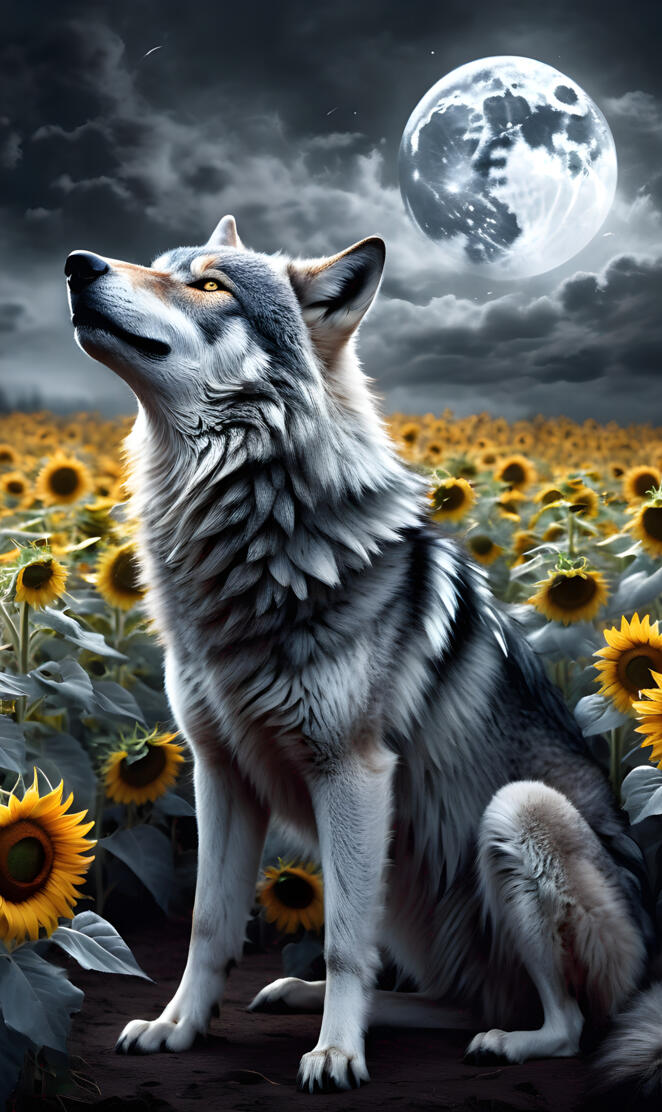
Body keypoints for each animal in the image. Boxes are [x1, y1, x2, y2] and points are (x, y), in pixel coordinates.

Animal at [66, 216, 660, 1098]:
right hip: (414, 894)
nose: (77, 264)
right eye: (160, 266)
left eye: (208, 286)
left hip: (516, 814)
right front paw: (178, 1027)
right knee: (451, 993)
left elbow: (343, 938)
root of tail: (654, 969)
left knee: (567, 1023)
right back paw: (303, 993)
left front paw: (338, 1053)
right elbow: (208, 923)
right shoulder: (218, 770)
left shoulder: (352, 770)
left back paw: (502, 1043)